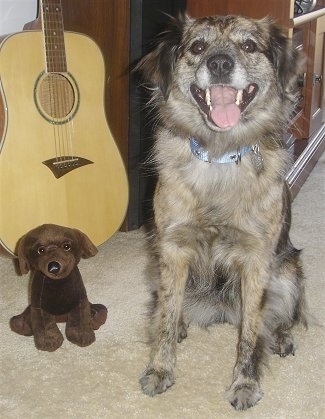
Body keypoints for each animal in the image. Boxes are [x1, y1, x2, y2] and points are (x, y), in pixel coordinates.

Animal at [136, 14, 306, 412]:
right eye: (198, 46)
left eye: (249, 45)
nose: (219, 64)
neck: (219, 155)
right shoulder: (173, 248)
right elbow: (166, 316)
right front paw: (160, 369)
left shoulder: (257, 259)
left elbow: (251, 336)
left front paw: (245, 383)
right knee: (168, 304)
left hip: (288, 272)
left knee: (281, 316)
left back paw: (281, 337)